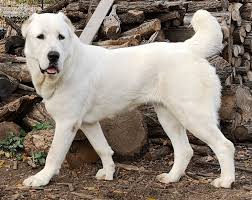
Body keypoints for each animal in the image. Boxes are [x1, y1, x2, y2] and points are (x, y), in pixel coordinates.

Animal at [20, 10, 235, 188]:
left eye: (61, 37)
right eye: (40, 37)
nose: (53, 55)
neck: (68, 64)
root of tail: (187, 48)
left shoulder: (67, 123)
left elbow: (53, 154)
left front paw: (41, 179)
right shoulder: (88, 123)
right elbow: (103, 149)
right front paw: (108, 173)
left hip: (193, 115)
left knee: (225, 146)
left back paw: (225, 181)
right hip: (168, 116)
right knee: (185, 150)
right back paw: (171, 178)